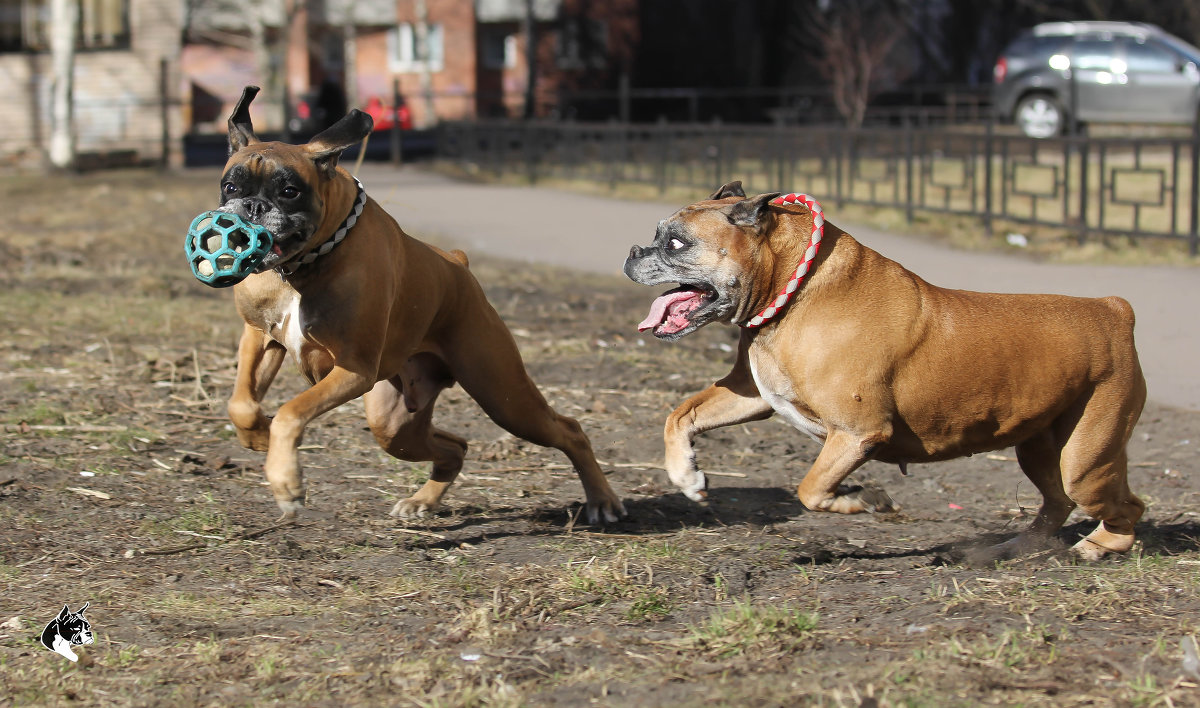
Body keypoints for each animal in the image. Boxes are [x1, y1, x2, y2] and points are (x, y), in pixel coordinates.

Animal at [218, 85, 628, 525]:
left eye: (290, 191)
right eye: (232, 187)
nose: (253, 207)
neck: (304, 264)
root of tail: (458, 264)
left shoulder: (354, 368)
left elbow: (292, 412)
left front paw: (286, 480)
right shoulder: (259, 337)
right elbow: (241, 403)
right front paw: (259, 436)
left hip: (505, 397)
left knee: (569, 430)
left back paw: (602, 500)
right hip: (396, 424)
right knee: (455, 447)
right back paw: (423, 501)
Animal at [628, 181, 1142, 561]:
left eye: (677, 243)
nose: (633, 251)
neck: (796, 289)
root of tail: (1113, 310)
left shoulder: (857, 433)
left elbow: (810, 488)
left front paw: (863, 500)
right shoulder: (749, 395)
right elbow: (680, 415)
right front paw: (688, 477)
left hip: (1084, 461)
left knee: (1126, 508)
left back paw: (1093, 547)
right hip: (1038, 450)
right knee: (1058, 503)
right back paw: (1016, 547)